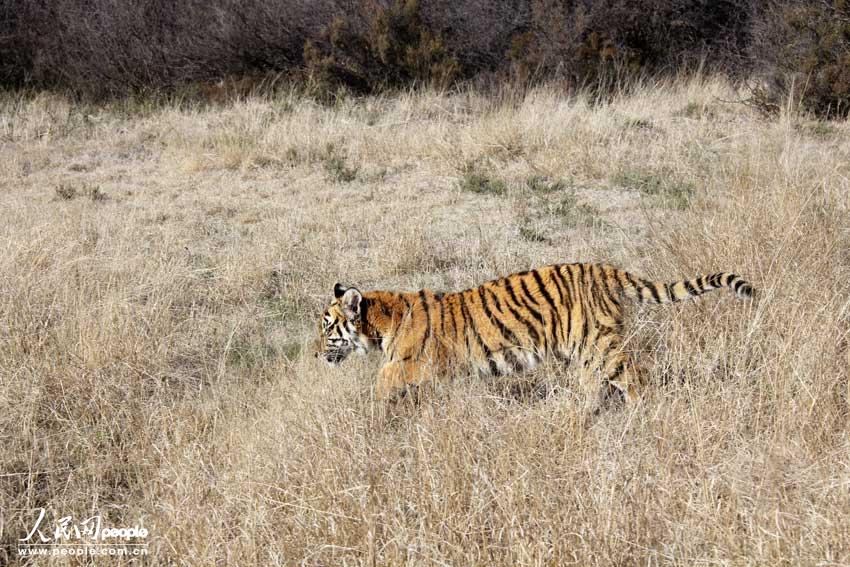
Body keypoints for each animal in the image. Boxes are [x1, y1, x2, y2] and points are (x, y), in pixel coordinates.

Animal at [314, 264, 752, 402]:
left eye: (326, 326)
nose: (316, 354)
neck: (379, 323)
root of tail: (602, 268)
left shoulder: (412, 364)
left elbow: (381, 381)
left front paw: (373, 413)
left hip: (602, 345)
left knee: (636, 377)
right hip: (587, 350)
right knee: (596, 384)